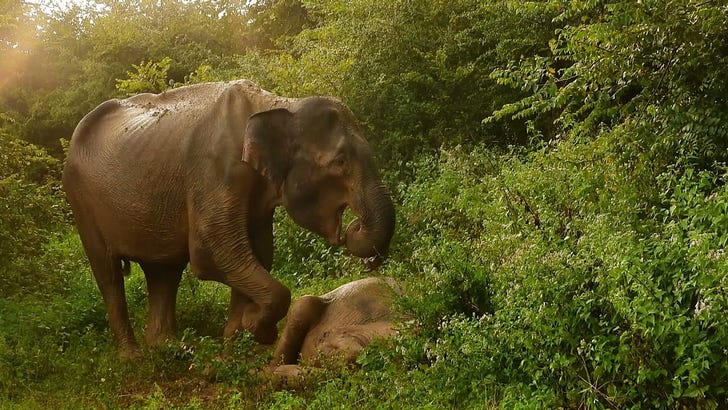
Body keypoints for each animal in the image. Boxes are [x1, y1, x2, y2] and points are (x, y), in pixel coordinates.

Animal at [62, 80, 395, 356]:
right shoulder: (215, 170)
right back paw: (133, 357)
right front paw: (257, 329)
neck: (277, 103)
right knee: (109, 274)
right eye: (340, 162)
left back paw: (169, 348)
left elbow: (258, 251)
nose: (353, 228)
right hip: (80, 201)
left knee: (163, 272)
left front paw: (236, 341)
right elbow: (212, 253)